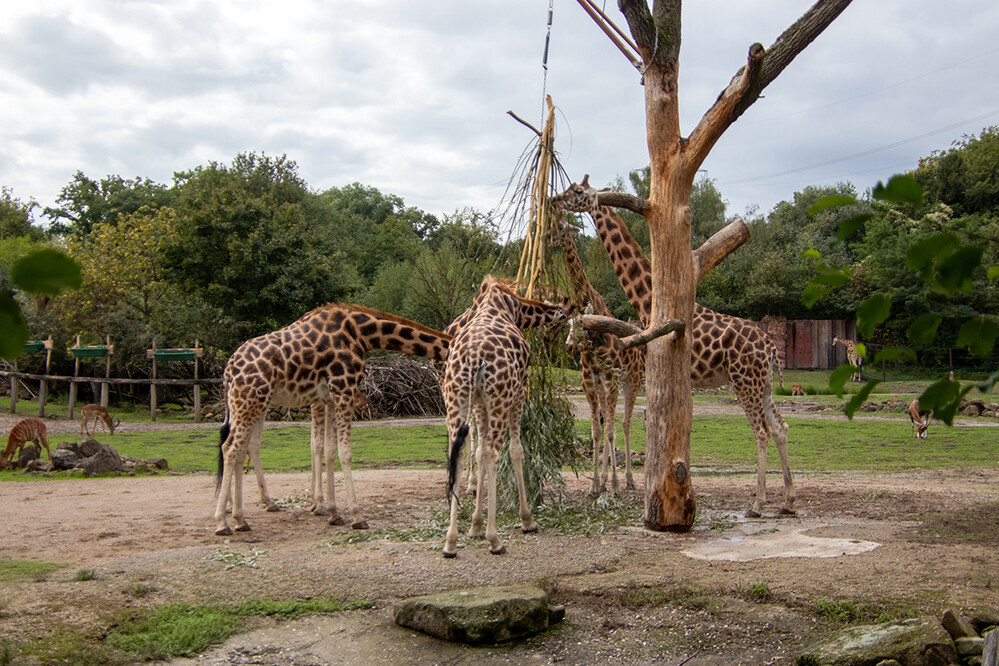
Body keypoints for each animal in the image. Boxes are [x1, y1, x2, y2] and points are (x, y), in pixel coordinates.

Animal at [221, 300, 456, 536]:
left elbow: (328, 450)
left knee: (239, 447)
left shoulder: (329, 398)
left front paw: (331, 511)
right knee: (231, 449)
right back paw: (225, 522)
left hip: (250, 404)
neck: (361, 333)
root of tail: (229, 370)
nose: (446, 388)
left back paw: (244, 514)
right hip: (250, 402)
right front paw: (355, 516)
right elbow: (344, 453)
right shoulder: (343, 391)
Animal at [444, 274, 576, 556]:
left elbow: (479, 453)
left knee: (458, 455)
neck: (511, 306)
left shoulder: (480, 403)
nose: (551, 341)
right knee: (495, 453)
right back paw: (495, 540)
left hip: (457, 399)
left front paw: (475, 525)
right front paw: (527, 520)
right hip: (500, 398)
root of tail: (474, 358)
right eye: (563, 321)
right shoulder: (520, 393)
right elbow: (516, 451)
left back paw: (450, 542)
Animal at [556, 214, 648, 492]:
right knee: (610, 423)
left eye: (565, 227)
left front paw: (615, 484)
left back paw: (627, 480)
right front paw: (596, 484)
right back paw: (607, 480)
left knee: (625, 424)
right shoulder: (590, 382)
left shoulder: (610, 380)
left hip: (632, 380)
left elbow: (611, 431)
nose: (568, 347)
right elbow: (598, 432)